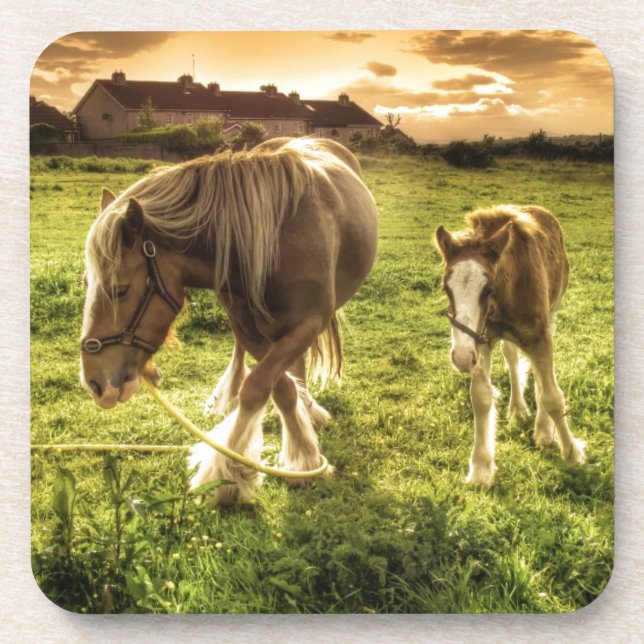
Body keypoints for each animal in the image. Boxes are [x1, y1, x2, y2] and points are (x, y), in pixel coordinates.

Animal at [80, 137, 378, 504]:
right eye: (87, 282)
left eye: (120, 289)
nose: (95, 382)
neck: (275, 237)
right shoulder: (249, 330)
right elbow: (276, 389)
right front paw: (299, 454)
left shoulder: (308, 323)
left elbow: (260, 388)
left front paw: (230, 475)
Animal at [434, 205, 586, 487]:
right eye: (445, 288)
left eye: (487, 289)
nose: (461, 357)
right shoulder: (481, 339)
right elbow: (481, 396)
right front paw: (481, 467)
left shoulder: (539, 336)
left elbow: (552, 396)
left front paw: (572, 453)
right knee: (512, 356)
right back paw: (518, 409)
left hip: (552, 314)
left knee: (539, 376)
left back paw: (543, 429)